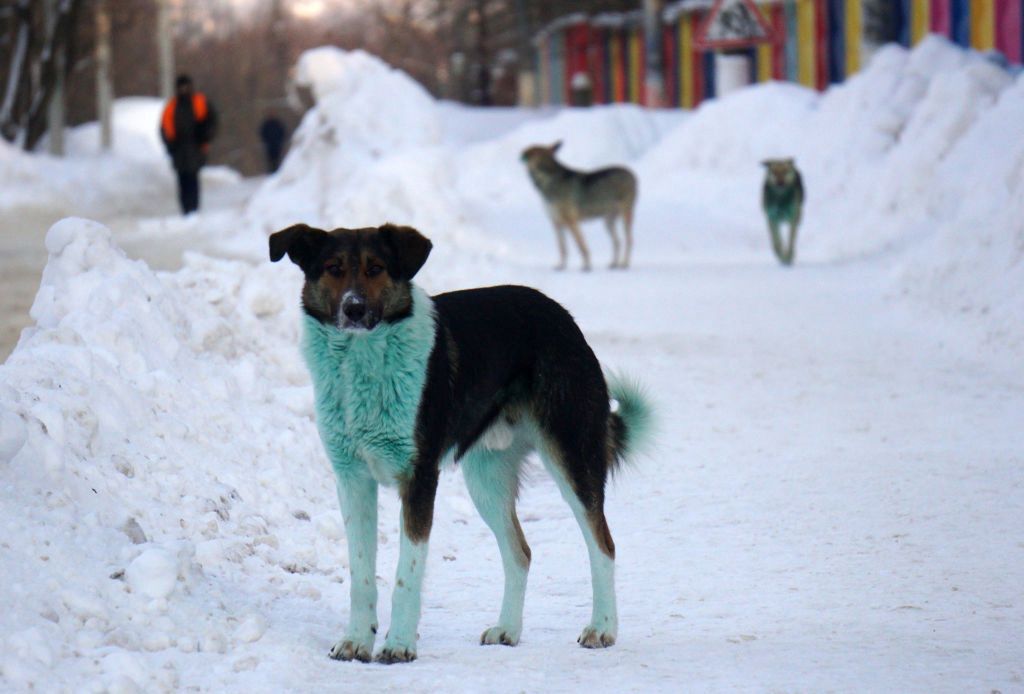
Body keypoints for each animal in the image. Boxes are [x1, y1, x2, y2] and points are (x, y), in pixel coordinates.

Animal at [270, 225, 647, 667]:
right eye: (333, 268)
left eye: (376, 268)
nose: (354, 309)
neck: (360, 363)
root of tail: (560, 315)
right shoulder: (353, 480)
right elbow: (361, 575)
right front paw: (356, 641)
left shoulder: (418, 478)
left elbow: (406, 575)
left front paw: (399, 644)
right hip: (487, 480)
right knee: (520, 552)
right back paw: (508, 629)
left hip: (572, 458)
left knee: (603, 545)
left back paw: (602, 628)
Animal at [524, 142, 634, 272]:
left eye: (535, 152)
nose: (521, 155)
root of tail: (631, 173)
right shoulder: (556, 222)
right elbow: (562, 248)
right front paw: (561, 266)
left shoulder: (571, 221)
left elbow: (581, 246)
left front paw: (586, 266)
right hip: (608, 222)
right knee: (618, 241)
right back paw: (614, 264)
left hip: (625, 216)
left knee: (629, 240)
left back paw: (624, 264)